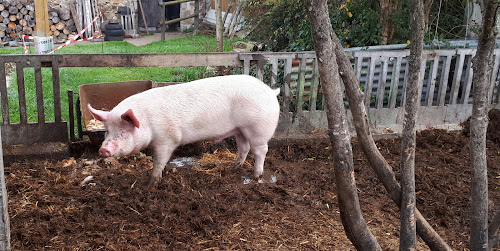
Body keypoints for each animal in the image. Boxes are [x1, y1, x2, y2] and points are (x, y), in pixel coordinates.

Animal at [87, 74, 280, 186]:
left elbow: (159, 161)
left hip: (257, 129)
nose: (103, 149)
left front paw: (152, 184)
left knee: (261, 150)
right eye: (107, 131)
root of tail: (271, 92)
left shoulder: (167, 139)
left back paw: (256, 176)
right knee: (244, 148)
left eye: (123, 132)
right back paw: (234, 168)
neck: (147, 121)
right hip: (240, 129)